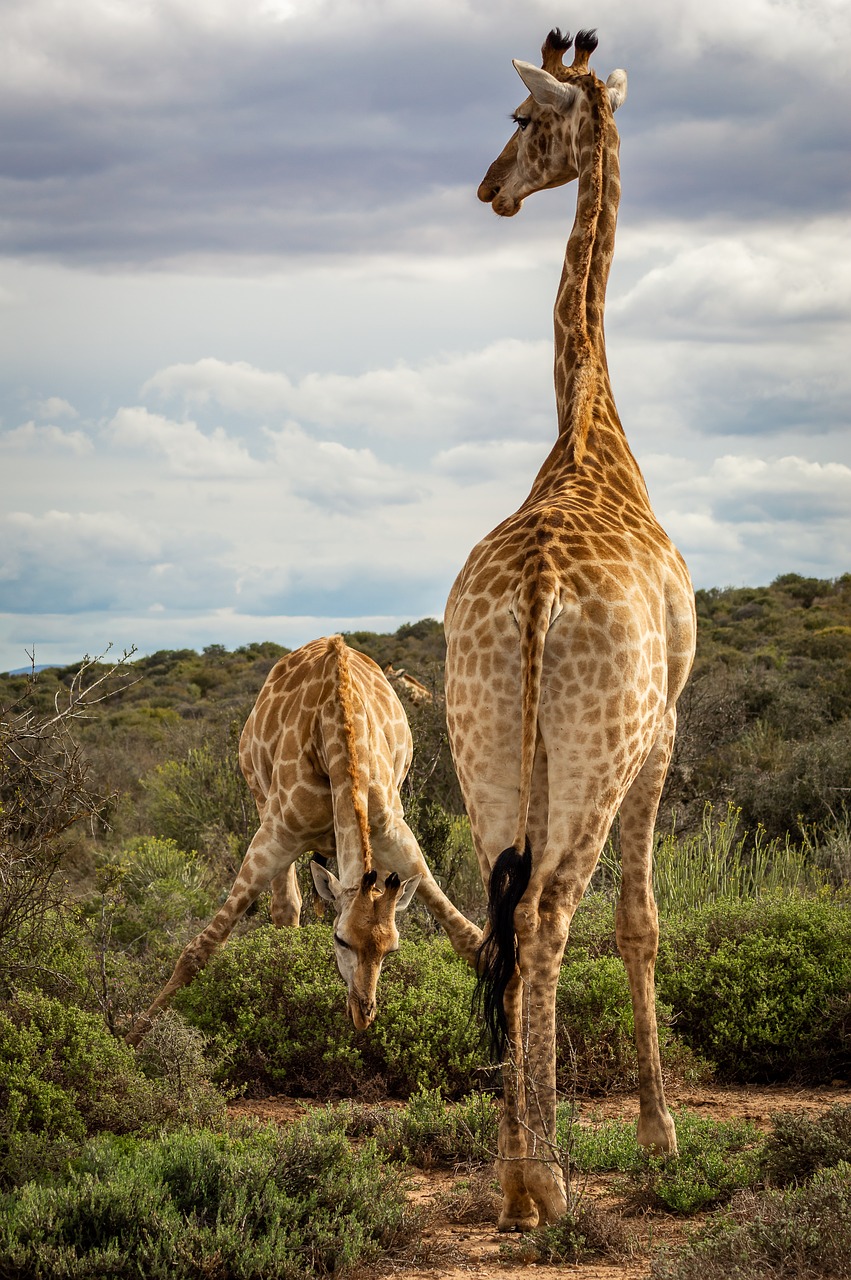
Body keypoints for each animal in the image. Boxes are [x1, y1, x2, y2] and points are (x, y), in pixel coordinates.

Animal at [128, 634, 481, 1044]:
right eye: (340, 939)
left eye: (391, 950)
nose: (363, 1015)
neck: (339, 732)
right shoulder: (277, 834)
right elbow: (200, 947)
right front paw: (132, 1040)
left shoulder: (393, 831)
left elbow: (468, 936)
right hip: (261, 801)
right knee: (285, 907)